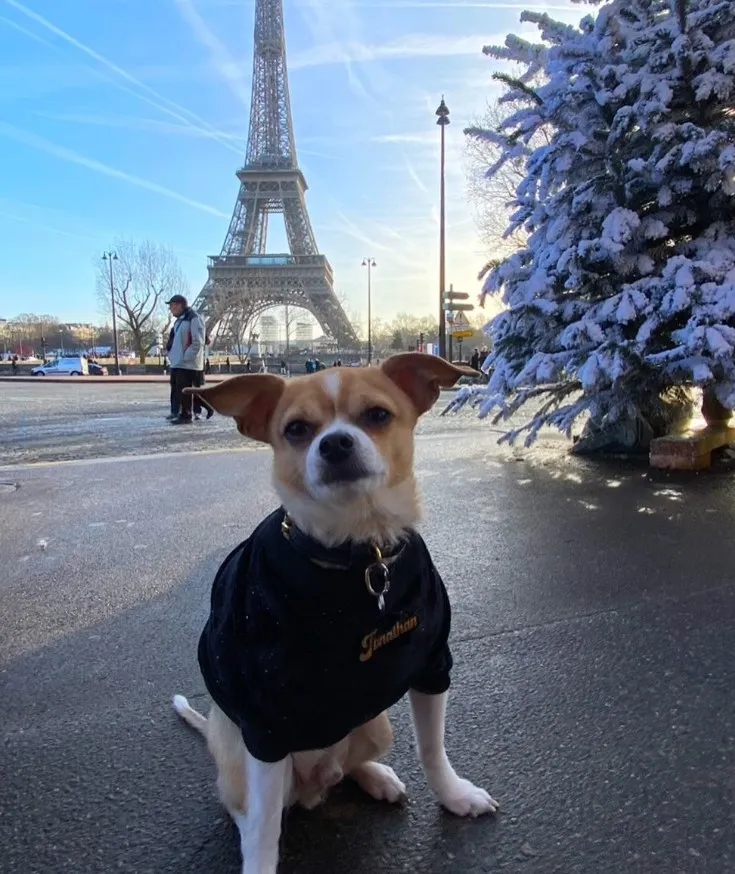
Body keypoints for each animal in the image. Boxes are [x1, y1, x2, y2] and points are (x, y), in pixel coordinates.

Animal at [171, 350, 500, 868]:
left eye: (378, 415)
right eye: (296, 429)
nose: (336, 443)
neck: (360, 553)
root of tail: (312, 785)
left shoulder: (432, 668)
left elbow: (433, 748)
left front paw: (454, 795)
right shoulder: (266, 726)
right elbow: (264, 828)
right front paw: (259, 862)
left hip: (376, 724)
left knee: (348, 766)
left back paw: (377, 777)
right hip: (243, 759)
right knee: (248, 810)